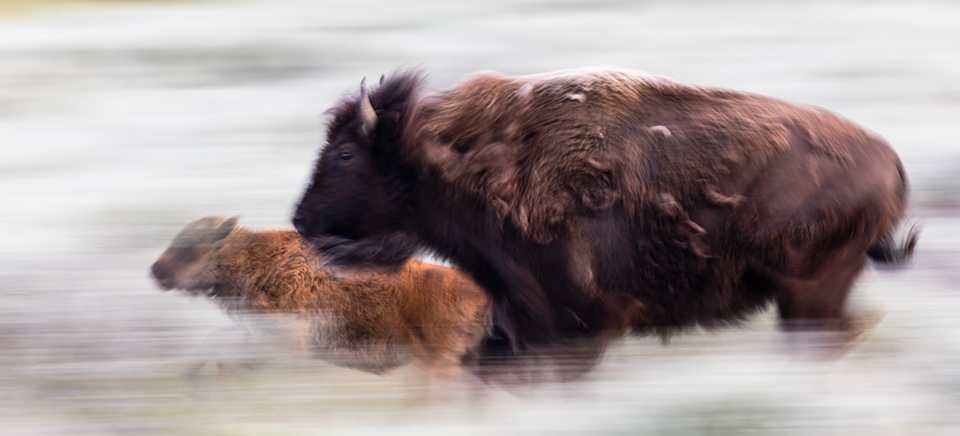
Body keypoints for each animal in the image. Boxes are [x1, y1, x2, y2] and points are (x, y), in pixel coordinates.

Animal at [290, 69, 916, 372]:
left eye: (344, 154)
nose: (300, 219)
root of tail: (890, 160)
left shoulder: (568, 326)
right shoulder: (516, 320)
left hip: (810, 294)